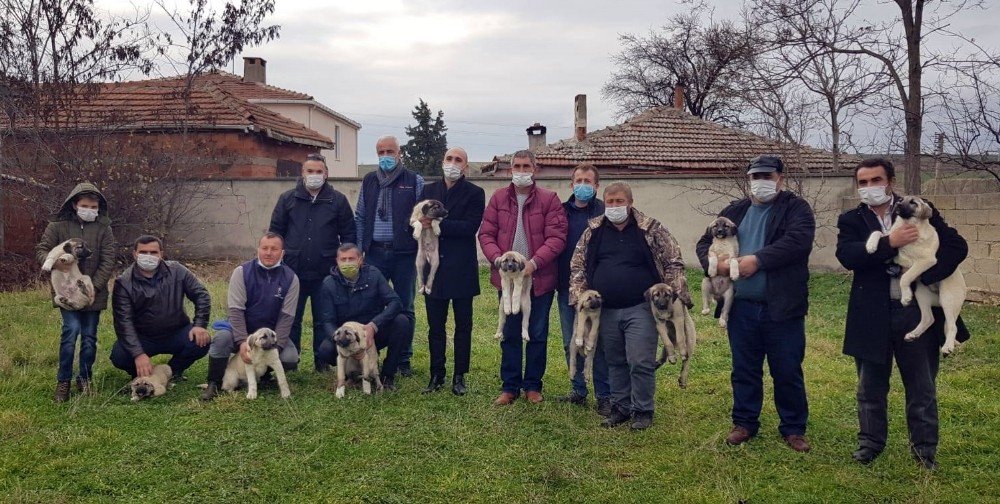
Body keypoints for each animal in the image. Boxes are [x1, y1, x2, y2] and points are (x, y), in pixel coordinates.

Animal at [864, 196, 964, 354]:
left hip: (948, 299)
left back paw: (948, 347)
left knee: (952, 326)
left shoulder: (925, 261)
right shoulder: (890, 252)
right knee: (929, 318)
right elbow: (878, 233)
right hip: (922, 294)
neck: (907, 224)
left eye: (913, 203)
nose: (898, 204)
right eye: (901, 199)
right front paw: (871, 245)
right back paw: (913, 334)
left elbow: (905, 277)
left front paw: (905, 297)